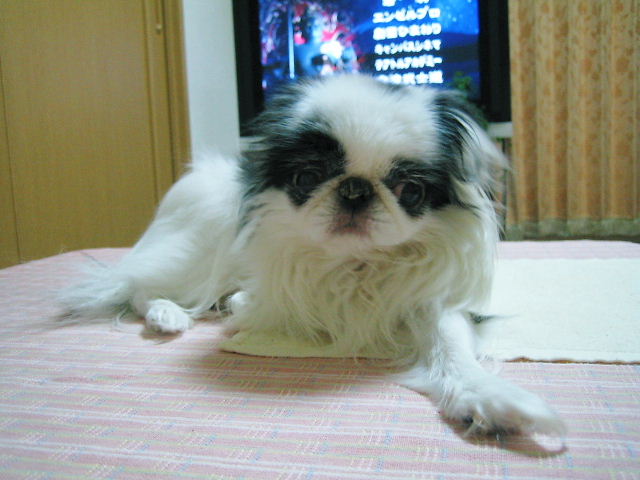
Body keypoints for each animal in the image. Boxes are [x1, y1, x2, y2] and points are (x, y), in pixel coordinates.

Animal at [62, 74, 565, 436]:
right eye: (307, 178)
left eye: (410, 190)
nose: (355, 189)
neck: (355, 265)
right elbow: (244, 306)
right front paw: (231, 311)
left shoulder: (432, 304)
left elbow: (451, 347)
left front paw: (488, 398)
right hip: (196, 249)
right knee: (139, 286)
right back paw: (168, 314)